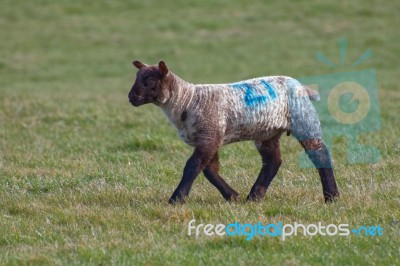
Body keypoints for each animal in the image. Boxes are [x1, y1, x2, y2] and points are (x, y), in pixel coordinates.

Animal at [129, 60, 340, 204]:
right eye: (137, 78)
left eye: (149, 80)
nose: (131, 97)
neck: (186, 99)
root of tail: (302, 86)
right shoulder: (209, 137)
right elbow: (209, 170)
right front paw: (232, 196)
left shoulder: (209, 135)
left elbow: (192, 167)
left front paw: (176, 199)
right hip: (267, 132)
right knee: (273, 161)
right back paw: (254, 196)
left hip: (304, 120)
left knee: (320, 154)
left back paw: (332, 197)